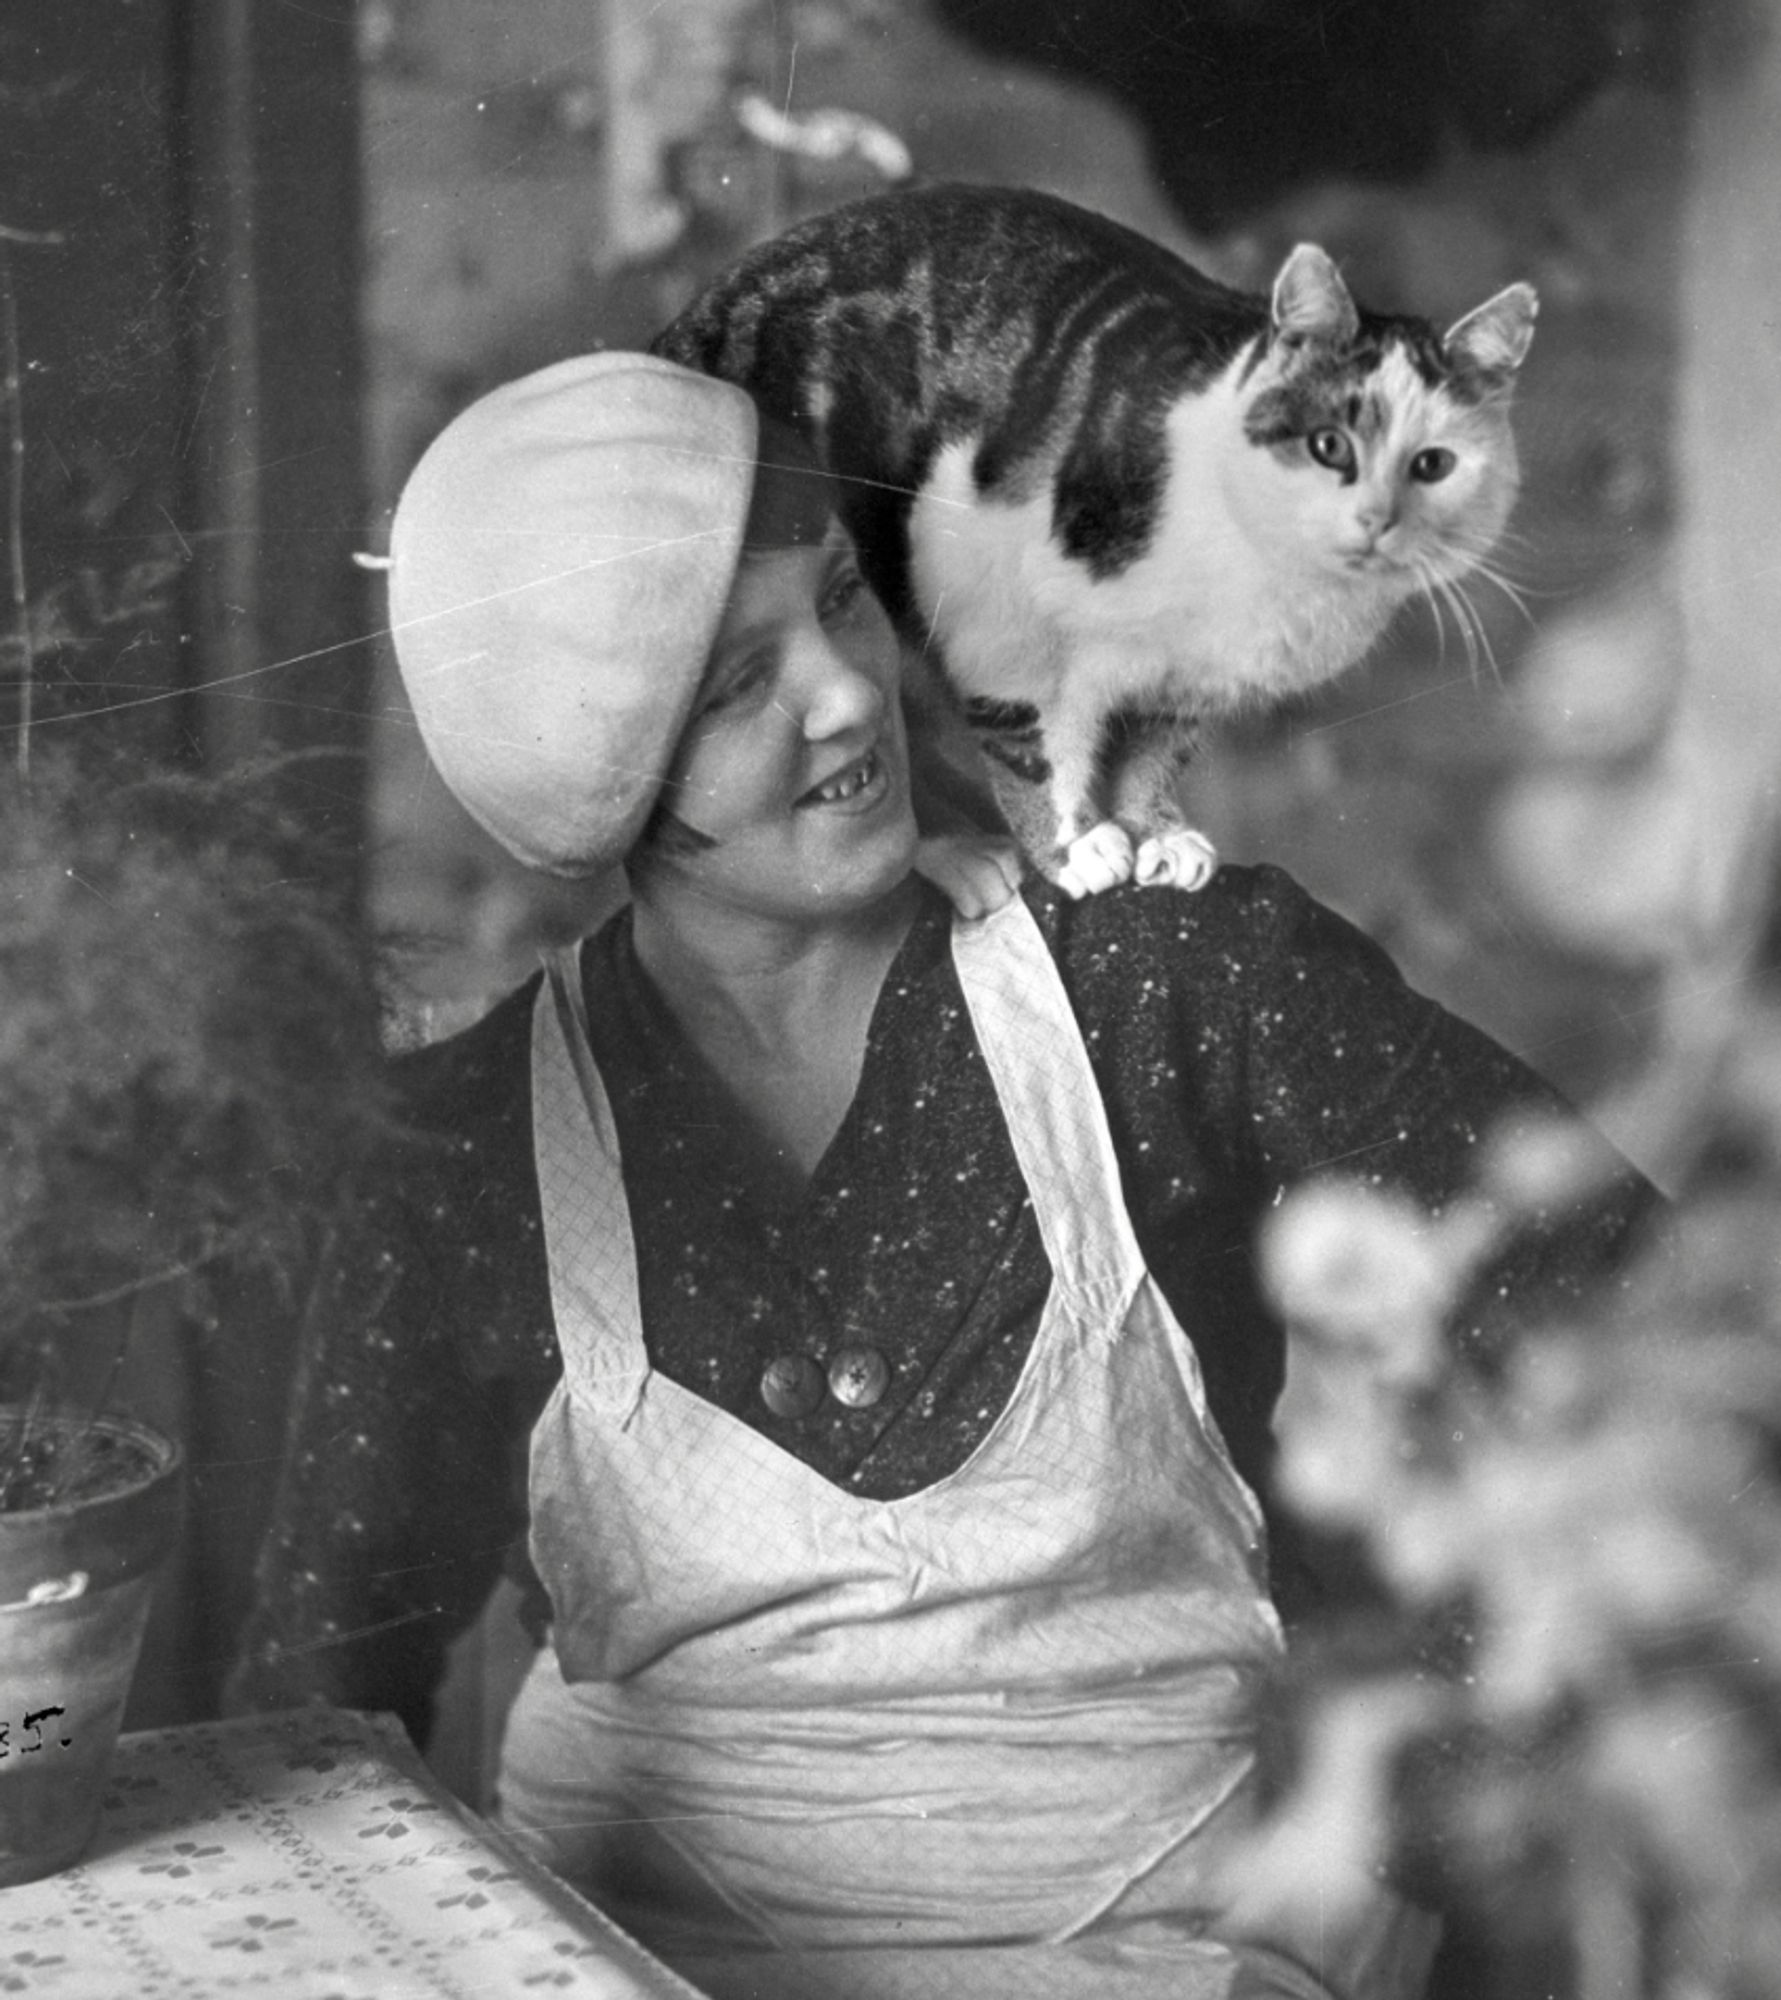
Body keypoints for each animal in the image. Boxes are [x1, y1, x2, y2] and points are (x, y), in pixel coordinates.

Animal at [644, 180, 1536, 900]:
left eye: (1432, 464)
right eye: (1328, 446)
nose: (1378, 520)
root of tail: (674, 335)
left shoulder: (1183, 683)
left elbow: (1152, 754)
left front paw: (1157, 832)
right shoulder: (996, 622)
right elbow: (1035, 749)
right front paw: (1072, 847)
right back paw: (959, 852)